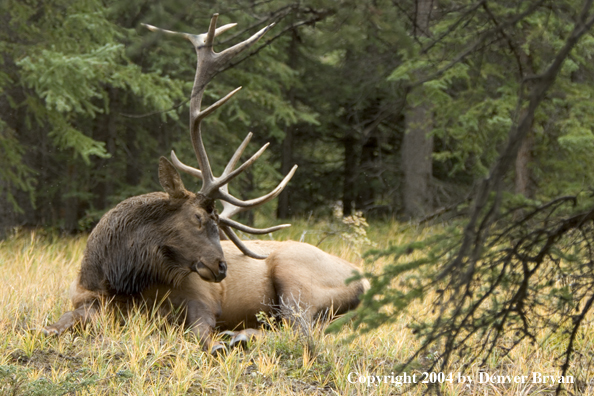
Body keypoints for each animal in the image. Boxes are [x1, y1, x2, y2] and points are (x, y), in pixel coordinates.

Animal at [42, 14, 366, 352]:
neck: (121, 278)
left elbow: (199, 332)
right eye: (198, 217)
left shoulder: (201, 297)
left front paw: (220, 341)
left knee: (300, 329)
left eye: (216, 223)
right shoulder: (85, 298)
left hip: (296, 278)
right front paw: (51, 328)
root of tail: (366, 279)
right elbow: (61, 322)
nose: (222, 266)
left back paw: (241, 335)